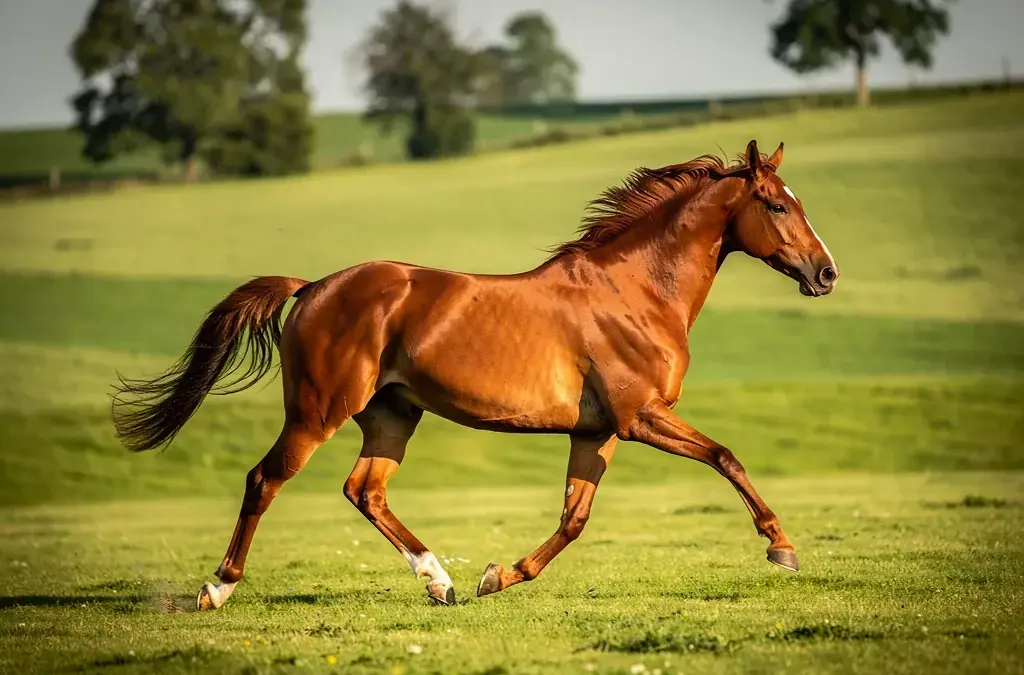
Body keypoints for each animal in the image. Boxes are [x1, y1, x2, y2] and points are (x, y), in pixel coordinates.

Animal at [111, 139, 838, 610]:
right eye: (776, 205)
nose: (826, 272)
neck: (633, 290)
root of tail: (314, 286)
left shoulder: (597, 430)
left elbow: (574, 518)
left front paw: (498, 574)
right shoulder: (642, 417)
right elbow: (725, 455)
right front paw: (782, 546)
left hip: (393, 414)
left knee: (364, 491)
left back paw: (441, 580)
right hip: (317, 412)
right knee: (265, 480)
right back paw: (218, 587)